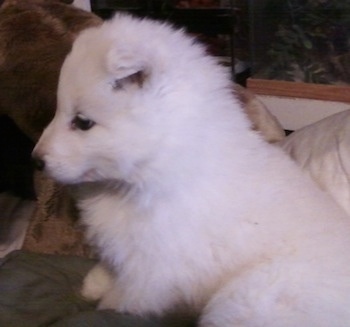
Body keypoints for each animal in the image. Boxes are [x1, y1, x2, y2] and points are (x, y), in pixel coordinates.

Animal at [33, 14, 350, 327]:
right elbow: (113, 269)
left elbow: (127, 297)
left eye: (83, 122)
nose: (35, 160)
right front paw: (94, 283)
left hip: (245, 300)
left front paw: (106, 304)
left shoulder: (154, 267)